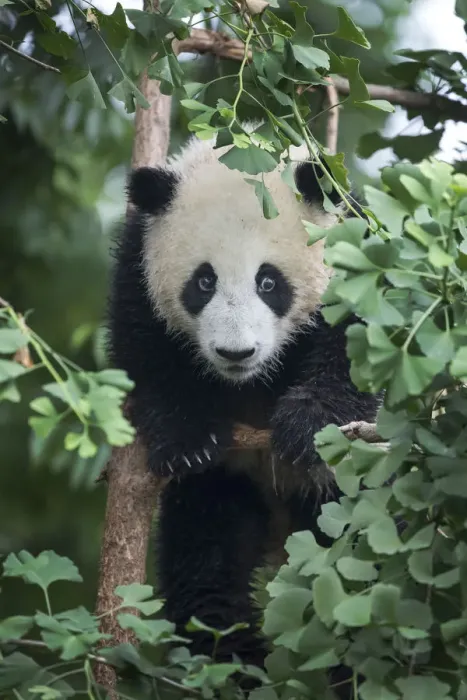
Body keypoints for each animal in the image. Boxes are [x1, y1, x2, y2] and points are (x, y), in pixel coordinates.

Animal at [107, 130, 379, 675]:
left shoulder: (353, 248)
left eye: (268, 282)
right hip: (226, 489)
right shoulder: (138, 268)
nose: (236, 353)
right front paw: (190, 441)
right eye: (204, 281)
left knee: (354, 560)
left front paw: (308, 426)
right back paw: (231, 663)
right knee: (207, 567)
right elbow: (146, 357)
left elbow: (361, 345)